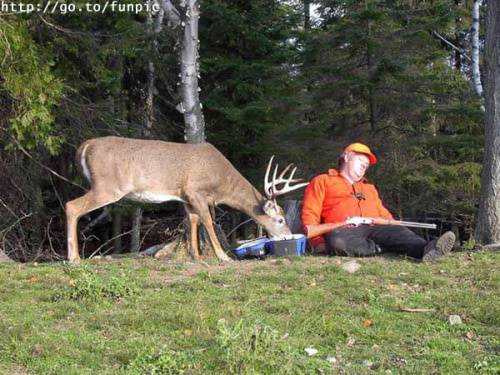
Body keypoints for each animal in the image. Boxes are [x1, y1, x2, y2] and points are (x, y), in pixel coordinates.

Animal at [66, 137, 308, 262]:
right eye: (280, 219)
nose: (288, 236)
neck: (221, 183)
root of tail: (84, 146)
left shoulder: (185, 196)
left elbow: (192, 220)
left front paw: (196, 255)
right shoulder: (195, 190)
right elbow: (209, 221)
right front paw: (223, 256)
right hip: (108, 186)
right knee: (71, 206)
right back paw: (74, 258)